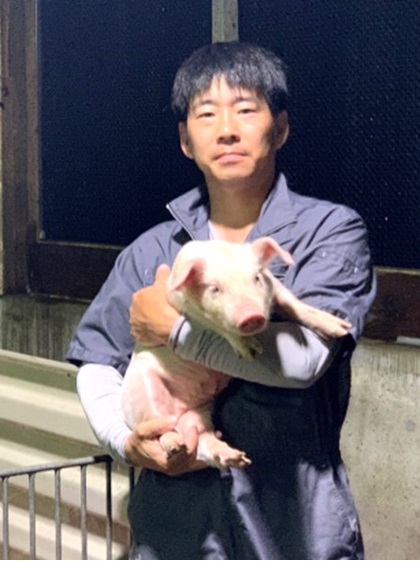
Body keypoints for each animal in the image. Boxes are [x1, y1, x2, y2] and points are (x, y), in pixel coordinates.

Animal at [121, 237, 351, 469]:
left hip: (202, 412)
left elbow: (292, 303)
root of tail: (178, 412)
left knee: (201, 440)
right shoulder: (183, 304)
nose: (251, 316)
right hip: (142, 396)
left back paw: (237, 458)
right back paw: (175, 445)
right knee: (159, 429)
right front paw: (252, 352)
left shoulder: (273, 285)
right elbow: (219, 326)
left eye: (256, 277)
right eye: (214, 288)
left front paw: (341, 328)